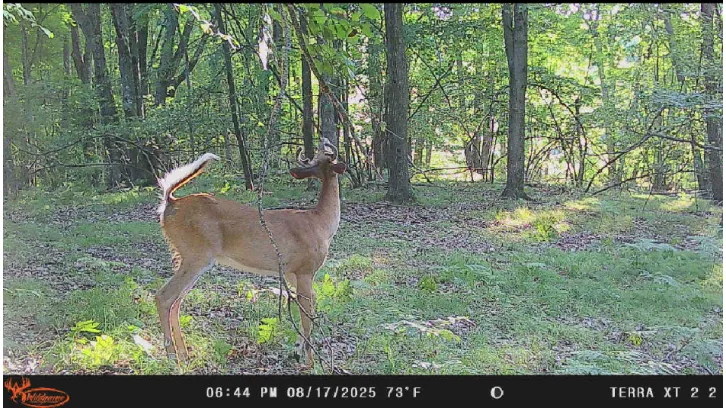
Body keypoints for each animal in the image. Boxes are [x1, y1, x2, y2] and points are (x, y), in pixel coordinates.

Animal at [155, 137, 346, 368]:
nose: (325, 140)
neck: (321, 224)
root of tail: (169, 203)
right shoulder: (305, 270)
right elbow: (307, 314)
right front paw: (310, 362)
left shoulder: (291, 273)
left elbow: (308, 307)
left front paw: (297, 350)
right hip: (195, 255)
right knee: (163, 297)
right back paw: (171, 356)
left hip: (192, 258)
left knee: (176, 302)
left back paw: (184, 355)